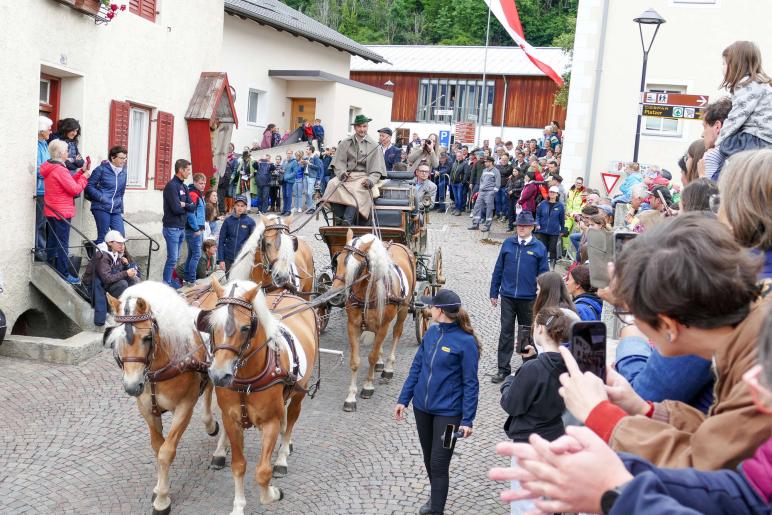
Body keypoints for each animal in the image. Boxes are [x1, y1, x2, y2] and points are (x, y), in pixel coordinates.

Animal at [105, 282, 220, 515]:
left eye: (147, 337)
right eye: (116, 340)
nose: (132, 386)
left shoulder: (184, 407)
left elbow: (166, 451)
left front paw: (162, 500)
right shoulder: (147, 409)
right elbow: (157, 447)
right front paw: (159, 488)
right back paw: (210, 424)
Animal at [204, 278, 318, 512]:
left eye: (246, 327)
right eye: (211, 326)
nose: (219, 375)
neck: (246, 379)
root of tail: (287, 293)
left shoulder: (269, 422)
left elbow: (263, 472)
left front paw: (272, 493)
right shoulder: (232, 420)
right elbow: (239, 465)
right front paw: (238, 506)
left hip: (299, 393)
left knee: (291, 419)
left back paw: (283, 455)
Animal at [330, 230, 416, 412]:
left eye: (358, 267)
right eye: (337, 261)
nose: (336, 296)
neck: (366, 293)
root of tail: (398, 244)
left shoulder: (384, 325)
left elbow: (372, 356)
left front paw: (368, 386)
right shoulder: (353, 326)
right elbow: (355, 361)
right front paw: (351, 397)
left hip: (404, 309)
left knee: (396, 333)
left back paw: (388, 367)